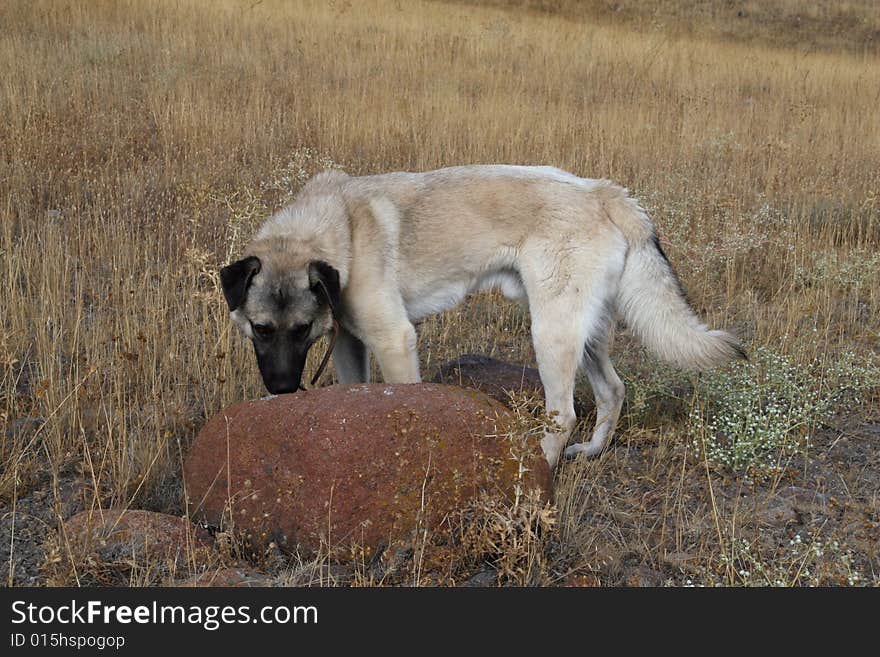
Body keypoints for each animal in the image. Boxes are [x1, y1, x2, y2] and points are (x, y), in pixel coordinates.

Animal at [220, 167, 744, 468]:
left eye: (300, 329)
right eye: (260, 329)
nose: (282, 389)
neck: (338, 225)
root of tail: (603, 192)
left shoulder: (393, 340)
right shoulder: (350, 341)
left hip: (551, 332)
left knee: (564, 413)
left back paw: (538, 471)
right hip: (585, 331)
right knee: (613, 391)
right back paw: (592, 453)